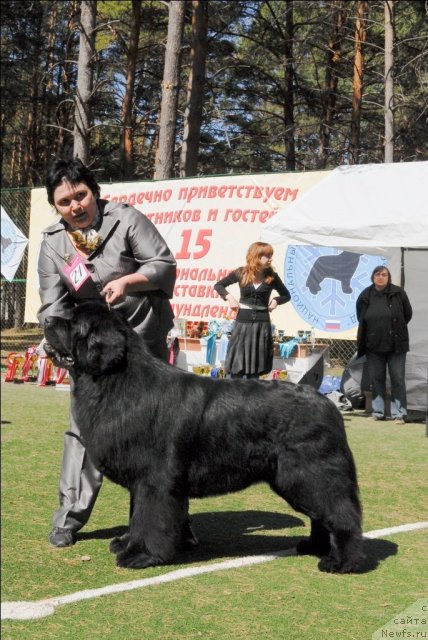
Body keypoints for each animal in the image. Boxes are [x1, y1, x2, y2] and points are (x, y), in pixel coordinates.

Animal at [44, 302, 364, 572]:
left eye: (75, 322)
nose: (46, 318)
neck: (116, 381)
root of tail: (327, 404)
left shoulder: (154, 480)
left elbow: (149, 518)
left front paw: (141, 555)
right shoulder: (141, 480)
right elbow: (137, 516)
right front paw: (126, 543)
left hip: (310, 474)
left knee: (342, 515)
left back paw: (341, 562)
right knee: (322, 516)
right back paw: (314, 547)